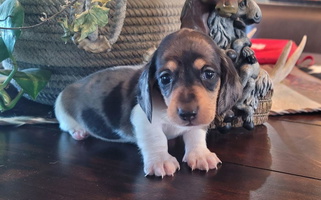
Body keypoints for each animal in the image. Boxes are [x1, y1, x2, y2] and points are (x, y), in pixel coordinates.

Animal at [54, 28, 240, 177]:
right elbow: (156, 138)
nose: (187, 114)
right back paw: (78, 131)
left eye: (209, 74)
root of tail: (67, 89)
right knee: (65, 125)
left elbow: (195, 135)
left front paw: (200, 154)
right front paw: (160, 161)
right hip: (62, 111)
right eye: (165, 78)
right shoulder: (143, 119)